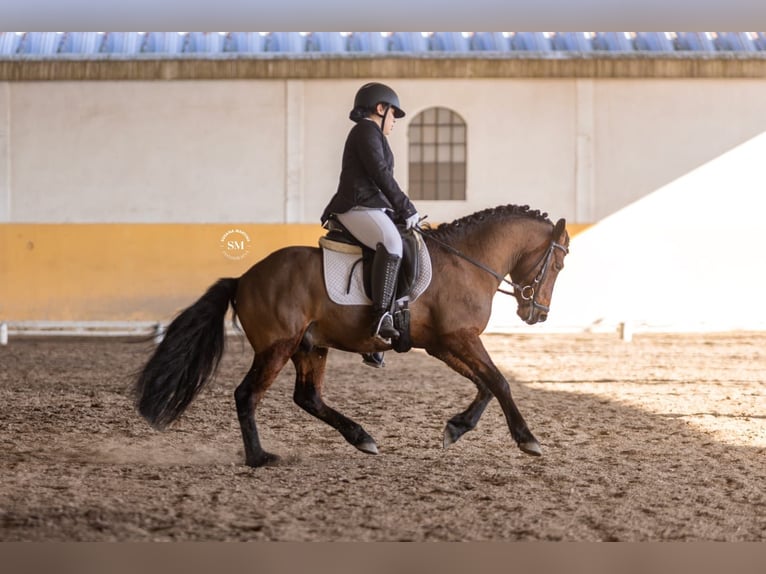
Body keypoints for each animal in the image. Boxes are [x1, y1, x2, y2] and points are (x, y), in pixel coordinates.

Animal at [134, 204, 570, 467]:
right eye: (559, 264)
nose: (538, 314)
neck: (467, 263)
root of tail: (243, 278)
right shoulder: (458, 340)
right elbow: (499, 381)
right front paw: (528, 439)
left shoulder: (443, 344)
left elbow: (485, 385)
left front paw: (456, 428)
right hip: (278, 346)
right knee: (247, 394)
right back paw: (260, 457)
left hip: (310, 346)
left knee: (308, 397)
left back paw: (361, 437)